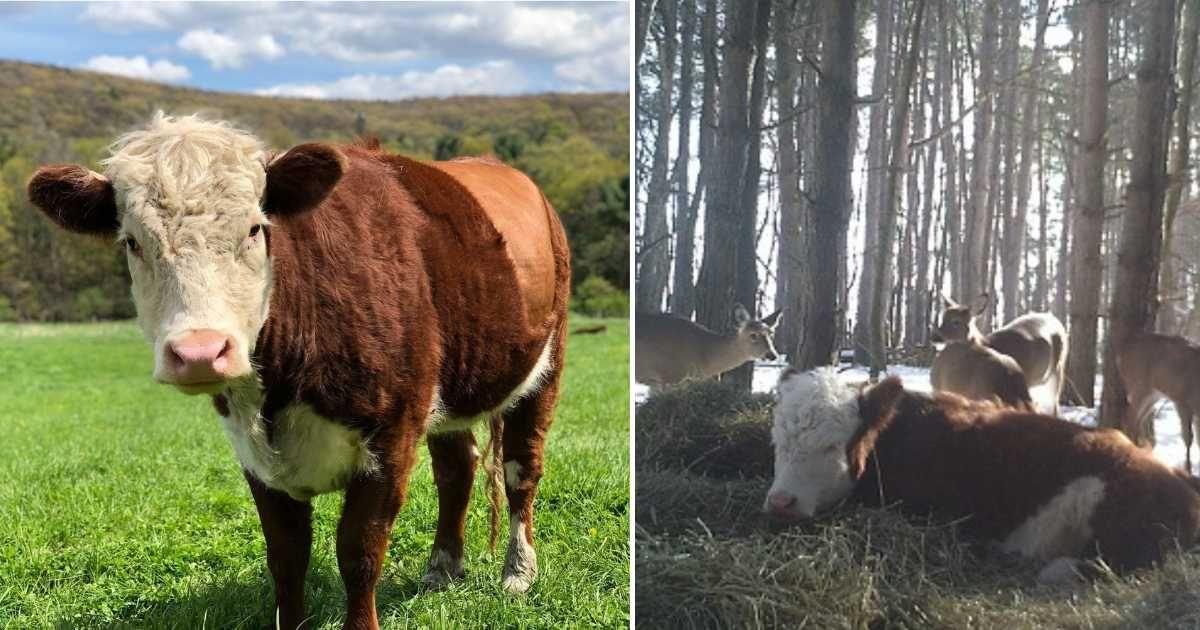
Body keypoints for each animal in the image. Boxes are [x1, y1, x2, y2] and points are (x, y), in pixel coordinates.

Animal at [1118, 333, 1200, 473]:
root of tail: (1121, 353)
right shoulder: (1181, 400)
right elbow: (1188, 438)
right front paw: (1188, 470)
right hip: (1138, 386)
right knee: (1129, 419)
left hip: (1153, 395)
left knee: (1137, 421)